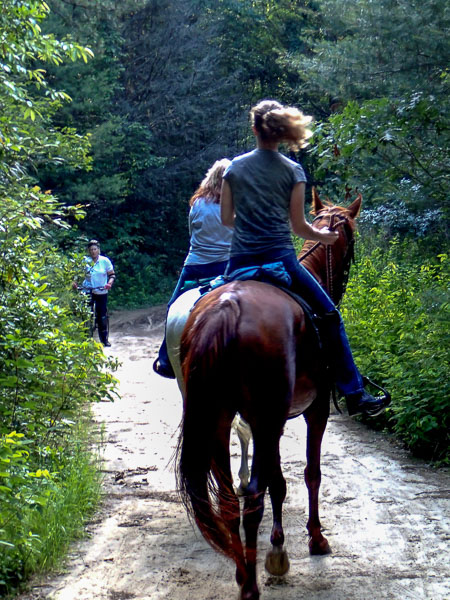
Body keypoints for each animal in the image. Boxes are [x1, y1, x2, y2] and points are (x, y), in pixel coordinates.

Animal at [176, 191, 362, 600]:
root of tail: (227, 308)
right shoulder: (313, 410)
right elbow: (309, 473)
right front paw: (313, 540)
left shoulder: (272, 422)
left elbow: (279, 481)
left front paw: (277, 549)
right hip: (263, 416)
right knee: (253, 495)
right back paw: (251, 584)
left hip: (219, 418)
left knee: (230, 496)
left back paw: (242, 570)